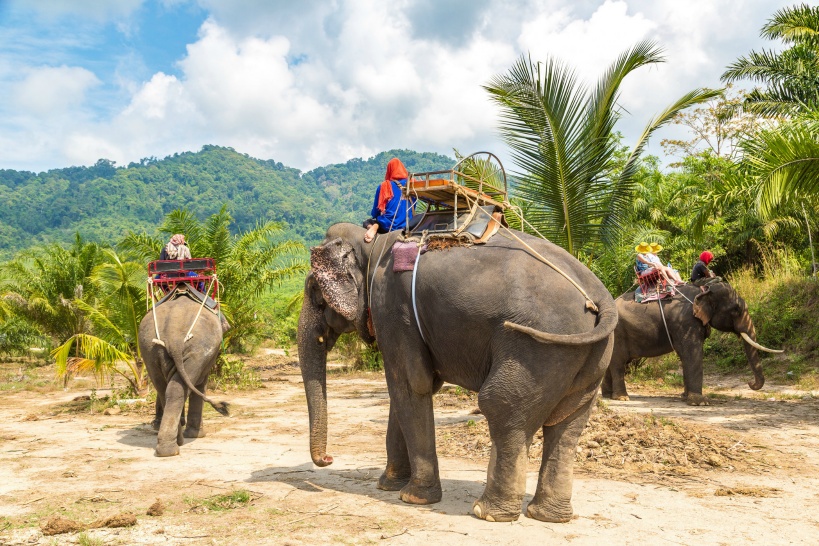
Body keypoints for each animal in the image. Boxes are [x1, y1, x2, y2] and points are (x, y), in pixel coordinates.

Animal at [138, 284, 227, 454]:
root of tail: (173, 335)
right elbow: (200, 384)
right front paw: (197, 435)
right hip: (197, 350)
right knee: (179, 388)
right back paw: (174, 446)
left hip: (150, 350)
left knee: (165, 389)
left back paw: (170, 446)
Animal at [298, 222, 620, 524]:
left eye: (315, 293)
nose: (327, 458)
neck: (372, 245)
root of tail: (599, 294)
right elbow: (404, 390)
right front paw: (389, 485)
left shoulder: (391, 308)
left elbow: (410, 384)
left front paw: (414, 497)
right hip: (588, 353)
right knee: (569, 423)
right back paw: (549, 515)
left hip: (538, 346)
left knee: (501, 405)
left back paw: (488, 512)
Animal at [604, 280, 784, 404]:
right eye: (736, 310)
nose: (749, 383)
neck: (703, 289)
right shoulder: (687, 322)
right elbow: (692, 353)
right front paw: (700, 402)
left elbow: (685, 356)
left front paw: (685, 397)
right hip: (618, 334)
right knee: (618, 363)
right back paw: (622, 398)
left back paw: (607, 396)